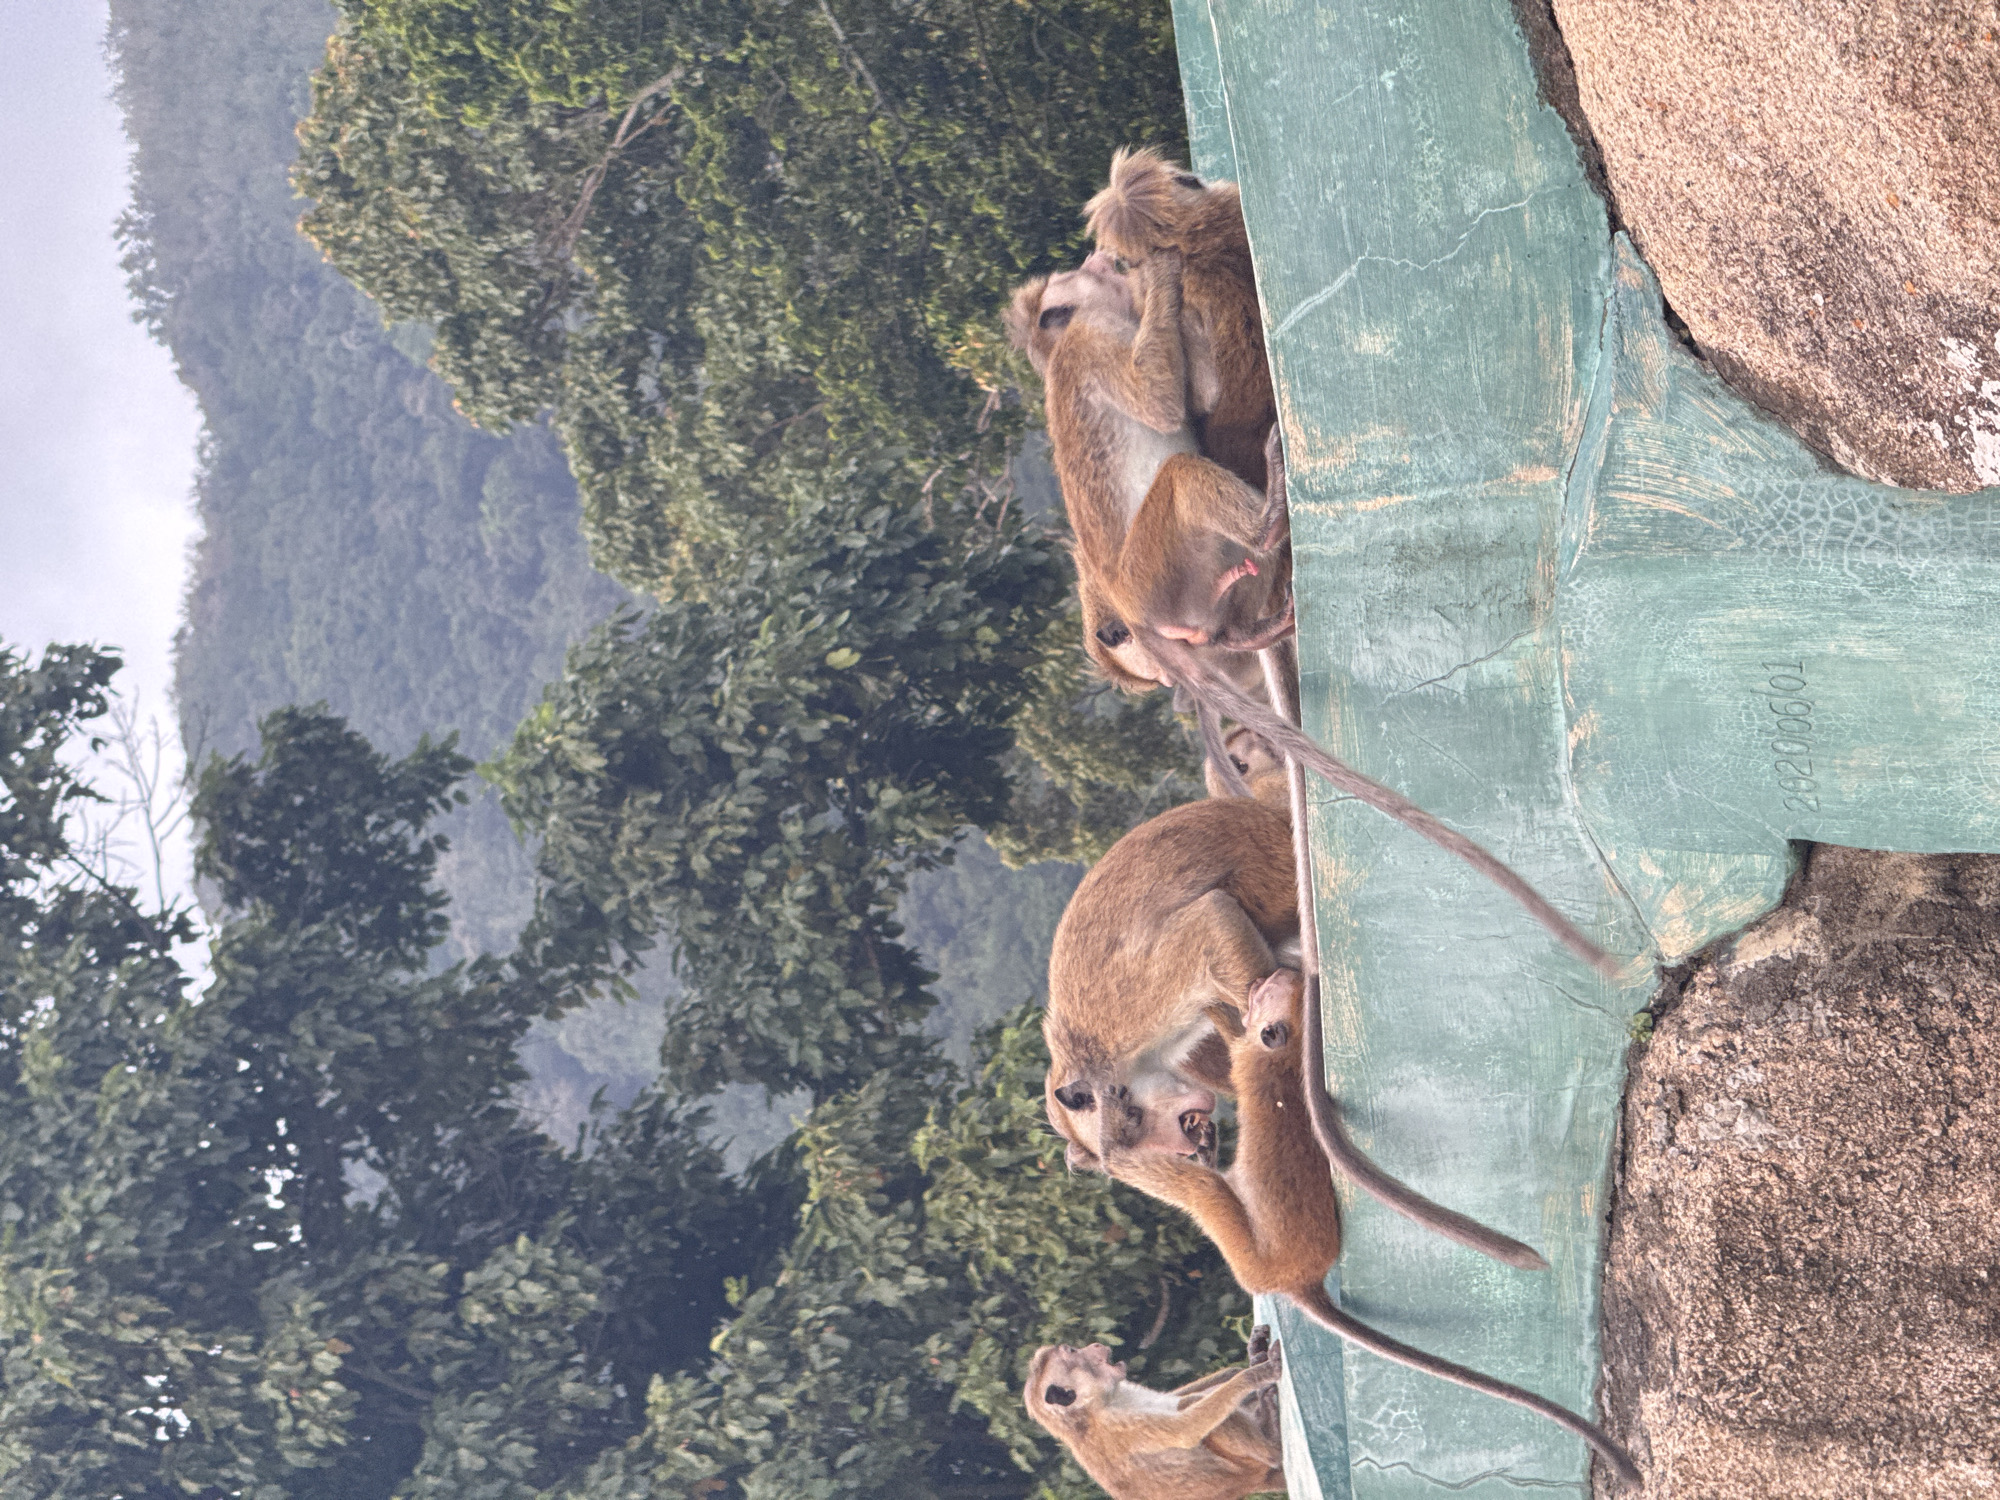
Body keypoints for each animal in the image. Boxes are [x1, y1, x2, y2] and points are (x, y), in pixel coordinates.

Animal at [1024, 1333, 1286, 1500]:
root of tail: (1252, 1483)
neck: (1091, 1409)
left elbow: (1176, 1398)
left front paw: (1250, 1359)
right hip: (1246, 1466)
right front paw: (1256, 1374)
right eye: (1072, 1351)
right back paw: (1272, 1438)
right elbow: (1186, 1430)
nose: (1095, 1345)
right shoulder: (1117, 1425)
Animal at [1103, 972, 1644, 1488]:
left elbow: (1225, 1041)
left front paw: (1215, 1009)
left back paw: (1121, 1151)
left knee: (1203, 1192)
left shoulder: (1247, 1056)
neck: (1284, 1059)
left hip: (1248, 1260)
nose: (1263, 980)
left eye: (1269, 991)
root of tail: (1301, 1279)